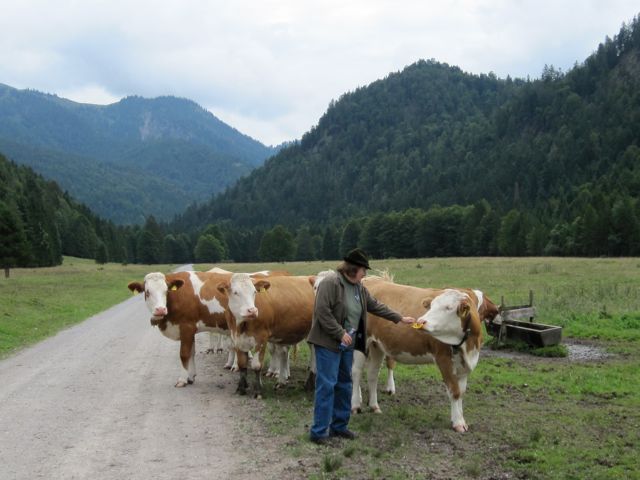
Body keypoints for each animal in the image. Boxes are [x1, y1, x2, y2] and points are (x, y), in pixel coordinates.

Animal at [356, 276, 496, 434]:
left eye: (449, 308)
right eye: (431, 306)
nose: (421, 321)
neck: (468, 344)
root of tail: (370, 280)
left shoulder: (464, 366)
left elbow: (461, 392)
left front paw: (460, 419)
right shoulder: (444, 360)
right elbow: (454, 391)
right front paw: (458, 423)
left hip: (376, 346)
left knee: (372, 374)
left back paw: (374, 406)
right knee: (355, 372)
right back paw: (356, 402)